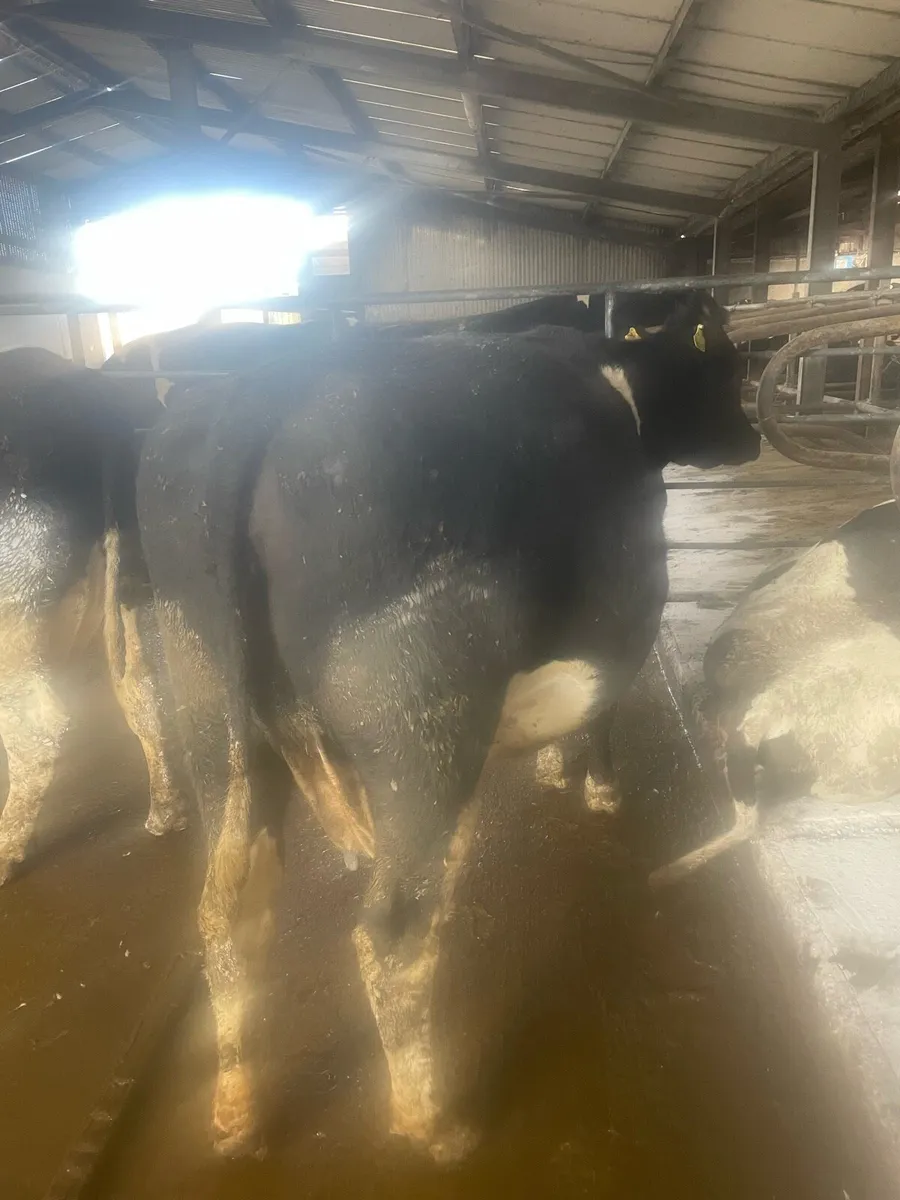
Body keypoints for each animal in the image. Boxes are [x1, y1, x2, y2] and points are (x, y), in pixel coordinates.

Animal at [135, 288, 758, 1161]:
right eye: (728, 360)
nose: (755, 437)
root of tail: (255, 402)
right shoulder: (620, 607)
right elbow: (603, 705)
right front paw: (595, 786)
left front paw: (551, 769)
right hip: (421, 716)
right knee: (393, 931)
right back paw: (433, 1123)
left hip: (208, 702)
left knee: (228, 910)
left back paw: (237, 1110)